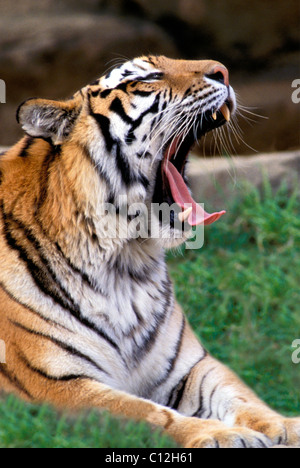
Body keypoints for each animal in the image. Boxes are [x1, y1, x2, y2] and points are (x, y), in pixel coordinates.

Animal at [0, 55, 298, 450]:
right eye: (148, 78)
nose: (223, 71)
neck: (125, 263)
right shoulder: (57, 384)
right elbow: (146, 413)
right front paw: (224, 434)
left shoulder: (189, 367)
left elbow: (240, 395)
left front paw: (285, 425)